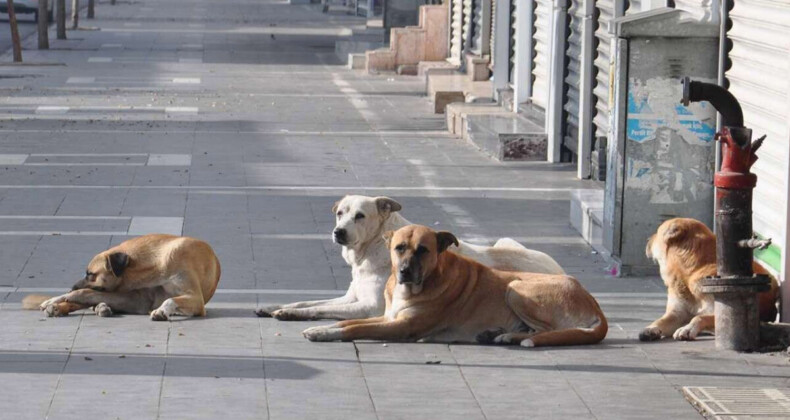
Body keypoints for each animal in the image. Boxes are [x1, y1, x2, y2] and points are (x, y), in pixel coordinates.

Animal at [23, 233, 221, 322]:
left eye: (90, 274)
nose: (71, 286)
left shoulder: (196, 300)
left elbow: (170, 299)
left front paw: (162, 311)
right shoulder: (136, 298)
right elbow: (83, 293)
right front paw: (55, 299)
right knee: (87, 300)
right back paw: (58, 307)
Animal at [256, 195, 568, 320]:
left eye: (360, 216)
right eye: (340, 213)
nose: (338, 232)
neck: (371, 250)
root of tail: (564, 272)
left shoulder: (369, 307)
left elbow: (316, 309)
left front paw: (289, 314)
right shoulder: (350, 297)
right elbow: (306, 301)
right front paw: (274, 306)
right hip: (504, 240)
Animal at [302, 226, 608, 348]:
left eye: (423, 250)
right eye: (399, 248)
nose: (404, 271)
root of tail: (594, 303)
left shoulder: (401, 326)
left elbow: (354, 328)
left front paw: (322, 334)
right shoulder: (388, 317)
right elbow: (346, 323)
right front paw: (322, 328)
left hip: (515, 288)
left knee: (548, 331)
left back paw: (509, 336)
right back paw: (500, 334)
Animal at [644, 217, 780, 342]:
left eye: (657, 232)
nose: (648, 239)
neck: (692, 272)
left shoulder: (720, 312)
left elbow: (699, 317)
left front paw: (688, 328)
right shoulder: (676, 314)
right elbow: (661, 320)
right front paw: (651, 328)